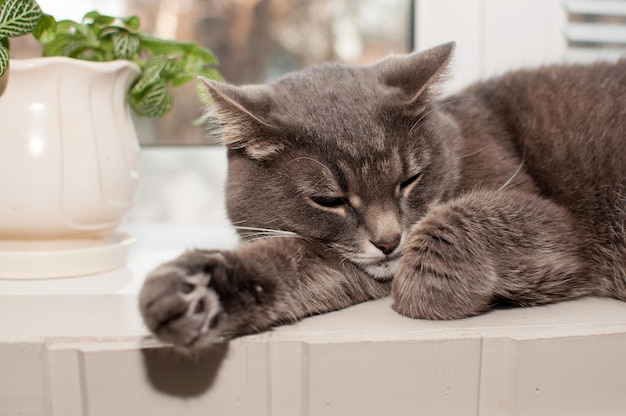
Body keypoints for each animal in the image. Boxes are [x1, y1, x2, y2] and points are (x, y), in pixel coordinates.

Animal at [138, 43, 624, 348]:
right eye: (330, 200)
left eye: (409, 179)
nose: (389, 241)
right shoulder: (334, 257)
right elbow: (291, 262)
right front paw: (197, 290)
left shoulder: (552, 222)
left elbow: (454, 219)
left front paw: (429, 290)